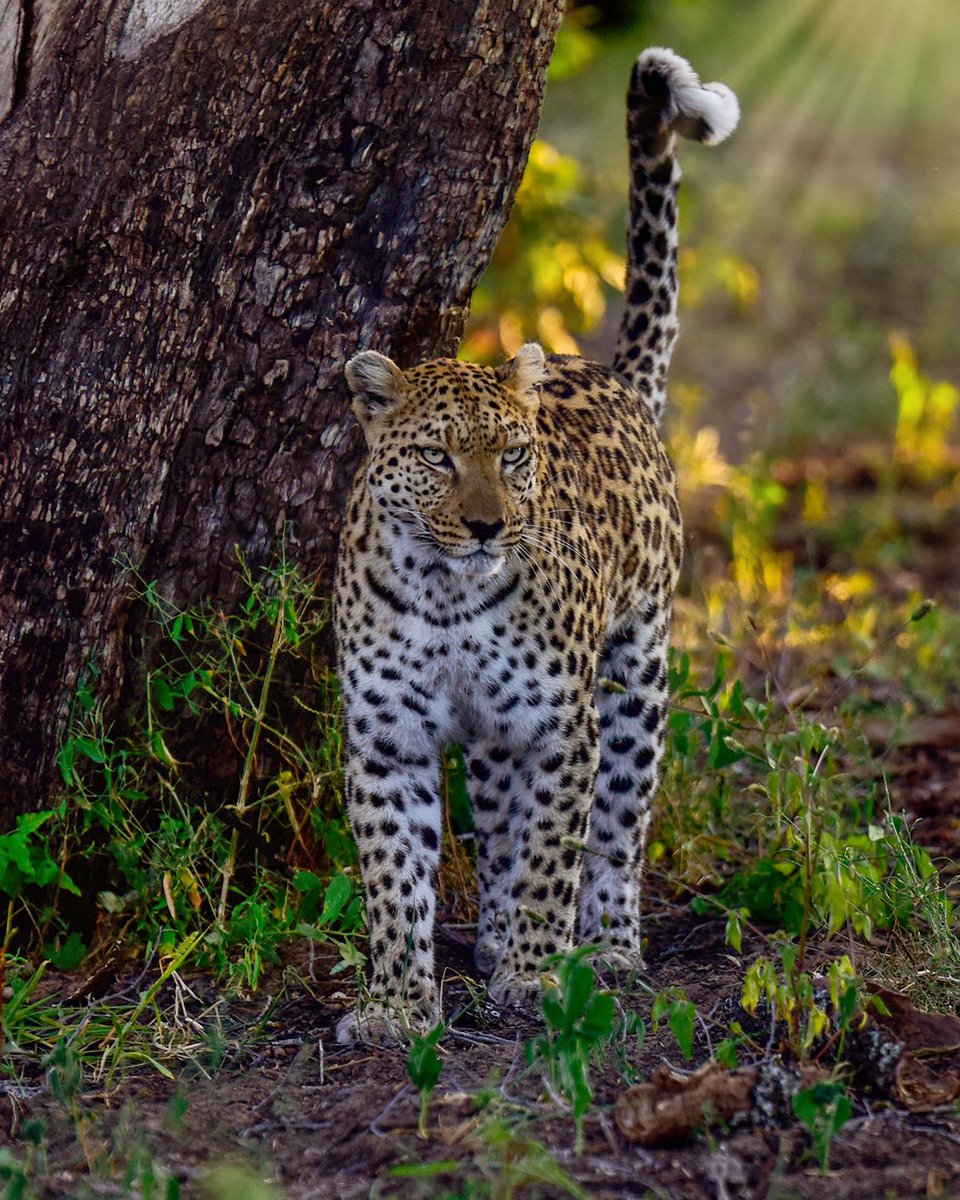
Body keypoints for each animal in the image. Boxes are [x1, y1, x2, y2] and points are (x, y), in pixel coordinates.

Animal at [334, 48, 739, 1042]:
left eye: (514, 457)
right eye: (438, 458)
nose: (489, 526)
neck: (445, 592)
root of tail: (613, 375)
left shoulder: (561, 724)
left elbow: (560, 847)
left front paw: (537, 974)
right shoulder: (389, 739)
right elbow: (394, 878)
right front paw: (397, 1004)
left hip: (635, 676)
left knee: (618, 828)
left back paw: (608, 947)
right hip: (493, 737)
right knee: (500, 822)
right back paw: (492, 935)